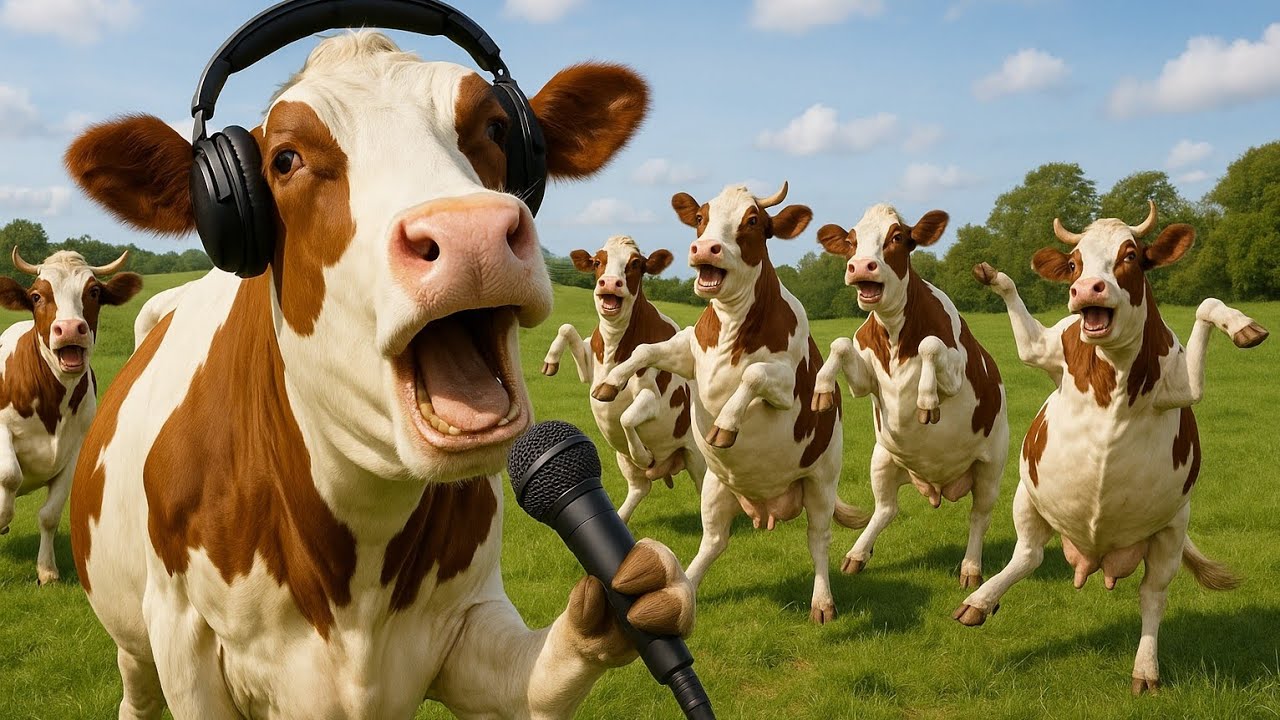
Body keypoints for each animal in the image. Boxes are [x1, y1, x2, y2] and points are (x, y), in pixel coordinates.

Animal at [0, 248, 140, 584]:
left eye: (94, 292)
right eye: (37, 296)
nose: (70, 328)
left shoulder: (75, 449)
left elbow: (50, 515)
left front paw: (47, 570)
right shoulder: (2, 429)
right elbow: (10, 475)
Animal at [541, 235, 705, 522]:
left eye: (635, 264)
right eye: (597, 262)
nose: (609, 282)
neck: (615, 346)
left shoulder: (654, 398)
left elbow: (626, 417)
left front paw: (644, 455)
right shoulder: (589, 368)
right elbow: (566, 328)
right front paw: (550, 361)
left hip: (697, 458)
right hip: (622, 459)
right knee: (640, 487)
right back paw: (621, 518)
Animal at [593, 181, 871, 624]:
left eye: (753, 220)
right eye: (701, 217)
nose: (705, 248)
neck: (731, 326)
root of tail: (768, 506)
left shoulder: (787, 382)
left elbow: (753, 375)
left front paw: (725, 423)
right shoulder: (687, 354)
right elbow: (643, 351)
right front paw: (611, 382)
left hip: (821, 481)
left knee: (818, 539)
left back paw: (822, 602)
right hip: (715, 486)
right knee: (714, 541)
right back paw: (683, 591)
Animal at [811, 204, 1008, 588]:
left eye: (898, 237)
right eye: (852, 241)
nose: (861, 266)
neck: (894, 333)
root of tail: (939, 486)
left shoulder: (956, 371)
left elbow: (930, 344)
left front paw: (926, 400)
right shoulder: (864, 381)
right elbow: (840, 344)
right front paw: (823, 387)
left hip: (991, 465)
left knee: (979, 515)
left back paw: (971, 568)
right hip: (882, 459)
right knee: (886, 509)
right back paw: (857, 554)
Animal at [953, 201, 1269, 694]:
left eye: (1131, 255)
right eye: (1074, 263)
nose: (1087, 289)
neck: (1115, 373)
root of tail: (1095, 556)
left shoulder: (1186, 387)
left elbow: (1205, 305)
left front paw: (1242, 325)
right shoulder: (1045, 350)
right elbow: (1022, 326)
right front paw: (991, 274)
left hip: (1172, 528)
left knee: (1152, 595)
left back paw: (1146, 669)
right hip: (1027, 495)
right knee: (1027, 555)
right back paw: (980, 601)